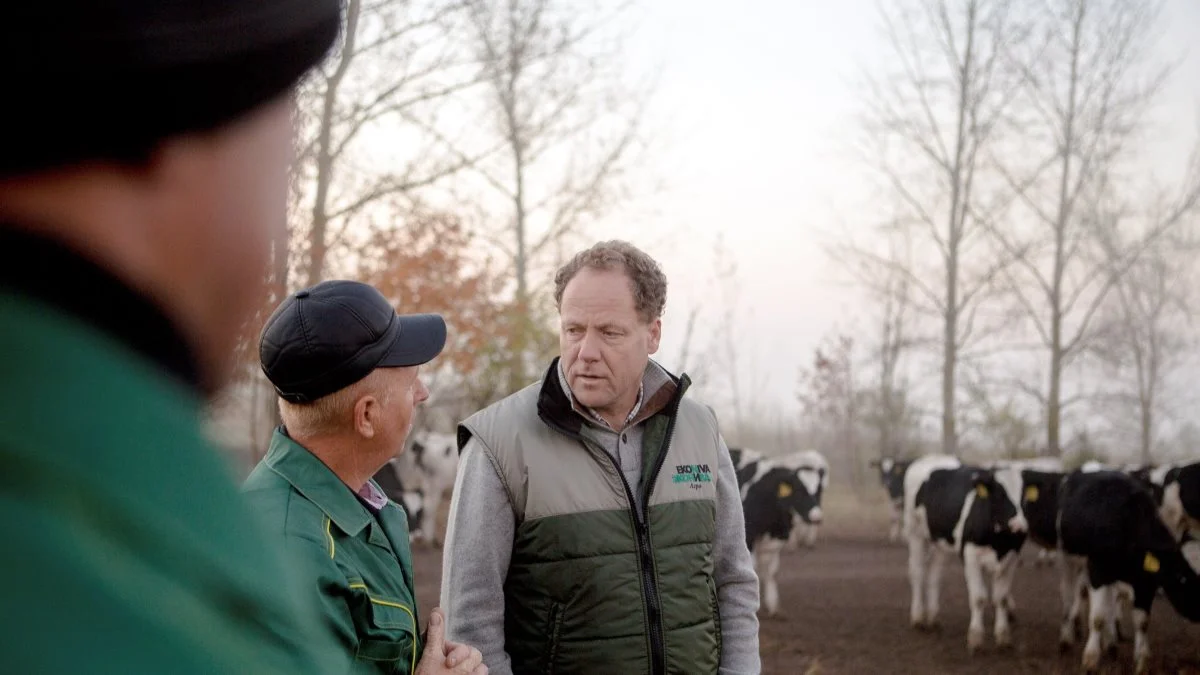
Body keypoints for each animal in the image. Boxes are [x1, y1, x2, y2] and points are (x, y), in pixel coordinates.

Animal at [729, 446, 825, 614]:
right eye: (800, 490)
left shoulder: (777, 538)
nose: (816, 516)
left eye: (819, 491)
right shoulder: (749, 538)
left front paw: (772, 605)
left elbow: (772, 571)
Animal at [902, 451, 1027, 653]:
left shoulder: (1011, 559)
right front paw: (975, 639)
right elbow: (978, 598)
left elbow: (1001, 598)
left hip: (940, 543)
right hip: (915, 532)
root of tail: (932, 457)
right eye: (1000, 493)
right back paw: (918, 618)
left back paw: (933, 618)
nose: (1019, 526)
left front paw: (1003, 638)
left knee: (934, 575)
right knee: (917, 573)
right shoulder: (970, 556)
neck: (998, 541)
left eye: (1023, 496)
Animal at [1060, 468, 1200, 672]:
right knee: (1073, 594)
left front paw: (1142, 660)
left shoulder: (1145, 582)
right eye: (1181, 578)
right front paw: (1091, 659)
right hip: (1072, 561)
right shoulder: (1098, 571)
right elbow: (1097, 617)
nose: (1198, 611)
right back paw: (1067, 637)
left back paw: (1110, 644)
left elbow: (1142, 621)